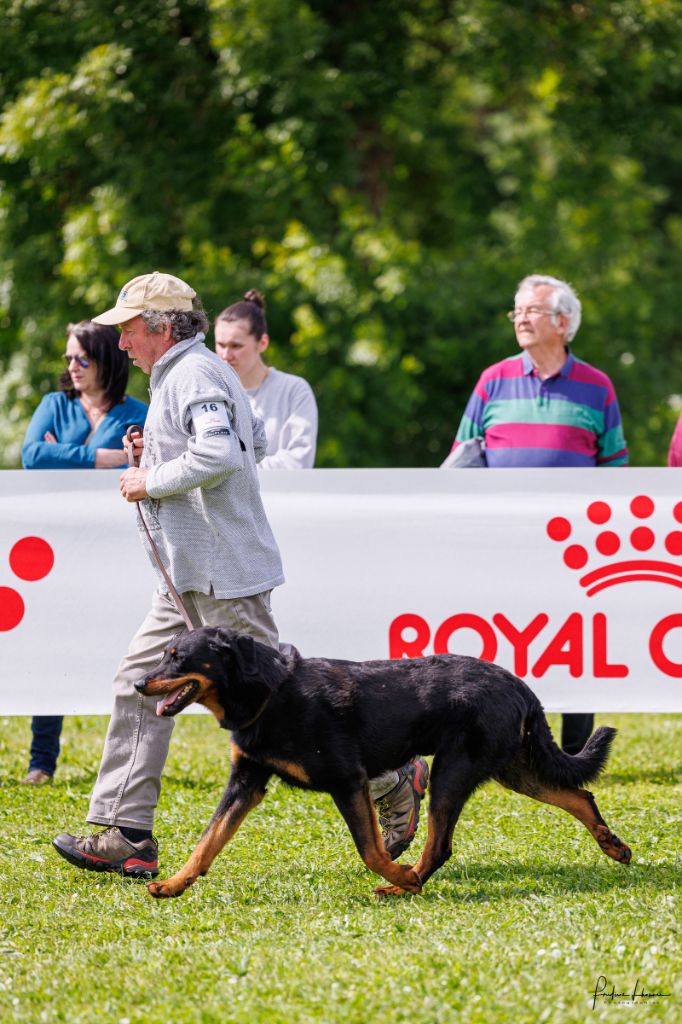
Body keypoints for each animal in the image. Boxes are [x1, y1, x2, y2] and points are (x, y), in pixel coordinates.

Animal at [135, 622, 630, 897]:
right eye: (163, 654)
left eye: (178, 658)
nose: (139, 683)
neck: (270, 693)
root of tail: (520, 684)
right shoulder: (246, 783)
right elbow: (208, 841)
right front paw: (173, 885)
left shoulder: (346, 779)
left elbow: (370, 849)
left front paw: (401, 875)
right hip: (514, 767)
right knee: (579, 795)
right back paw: (613, 845)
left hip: (455, 770)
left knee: (440, 844)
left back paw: (405, 885)